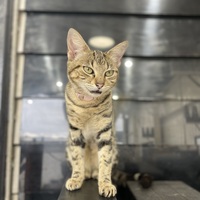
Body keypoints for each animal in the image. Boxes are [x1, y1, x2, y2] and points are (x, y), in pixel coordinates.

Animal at [65, 27, 128, 197]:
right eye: (88, 69)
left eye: (109, 73)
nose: (100, 84)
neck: (88, 105)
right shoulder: (75, 132)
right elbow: (77, 158)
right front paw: (76, 178)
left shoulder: (105, 133)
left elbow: (105, 161)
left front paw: (105, 184)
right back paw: (85, 174)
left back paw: (95, 174)